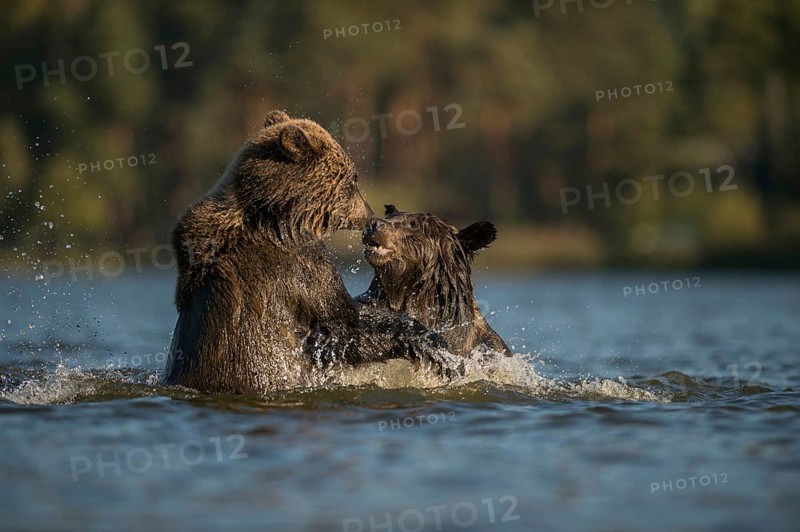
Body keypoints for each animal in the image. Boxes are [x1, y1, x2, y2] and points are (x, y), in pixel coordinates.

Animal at [163, 111, 458, 395]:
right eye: (352, 181)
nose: (370, 216)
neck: (277, 217)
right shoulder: (299, 266)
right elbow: (340, 322)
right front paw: (435, 345)